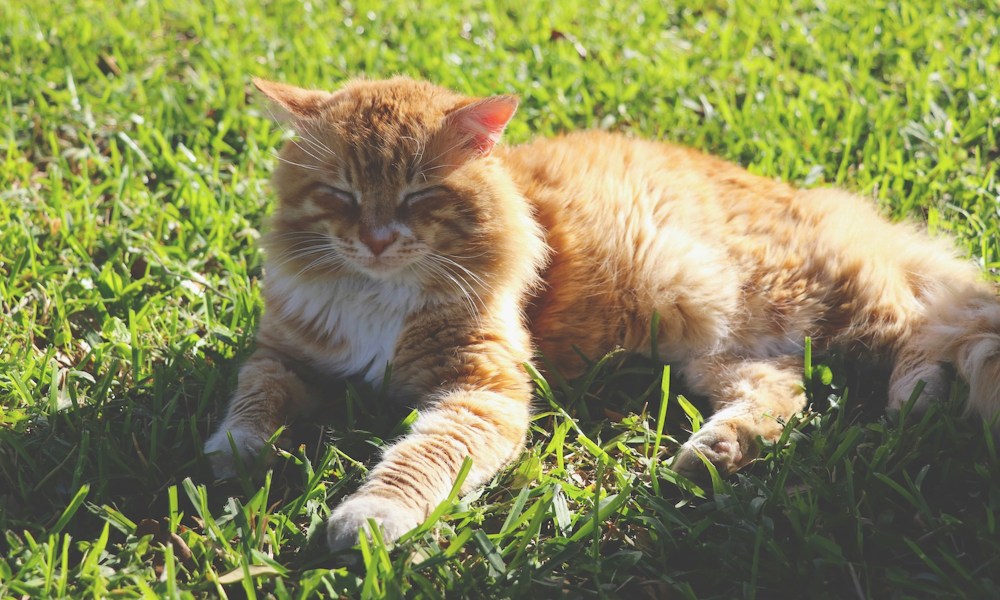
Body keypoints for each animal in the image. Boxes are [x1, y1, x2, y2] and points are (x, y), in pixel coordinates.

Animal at [203, 75, 1000, 548]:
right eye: (339, 193)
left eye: (418, 196)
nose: (373, 239)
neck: (377, 294)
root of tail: (816, 200)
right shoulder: (288, 352)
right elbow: (254, 395)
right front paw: (233, 451)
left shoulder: (480, 392)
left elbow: (419, 460)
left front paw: (368, 519)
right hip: (715, 353)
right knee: (787, 394)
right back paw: (712, 454)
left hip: (826, 312)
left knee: (927, 330)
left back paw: (915, 402)